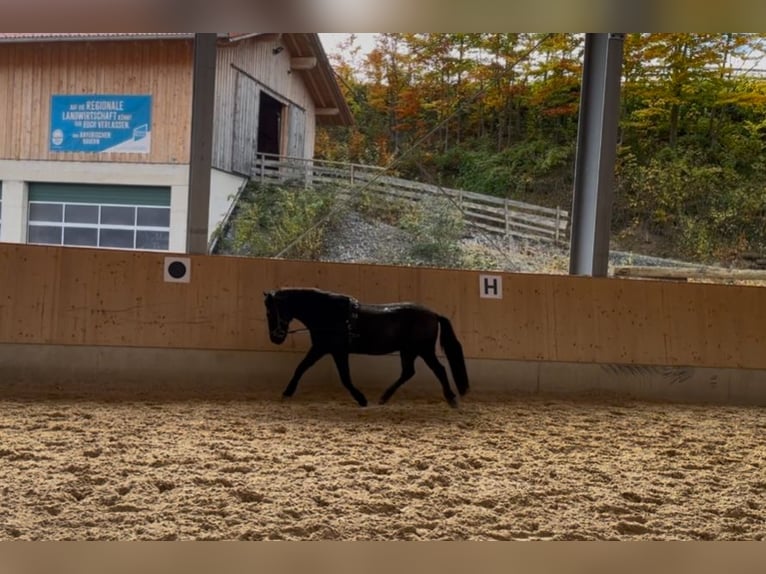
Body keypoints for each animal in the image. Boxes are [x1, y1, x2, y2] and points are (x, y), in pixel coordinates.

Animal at [263, 287, 469, 408]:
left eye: (271, 312)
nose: (275, 337)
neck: (328, 313)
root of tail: (434, 314)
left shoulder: (331, 349)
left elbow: (341, 377)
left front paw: (361, 398)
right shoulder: (324, 348)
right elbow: (303, 367)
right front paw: (287, 393)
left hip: (422, 350)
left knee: (439, 370)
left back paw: (451, 398)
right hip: (408, 351)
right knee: (408, 372)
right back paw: (384, 397)